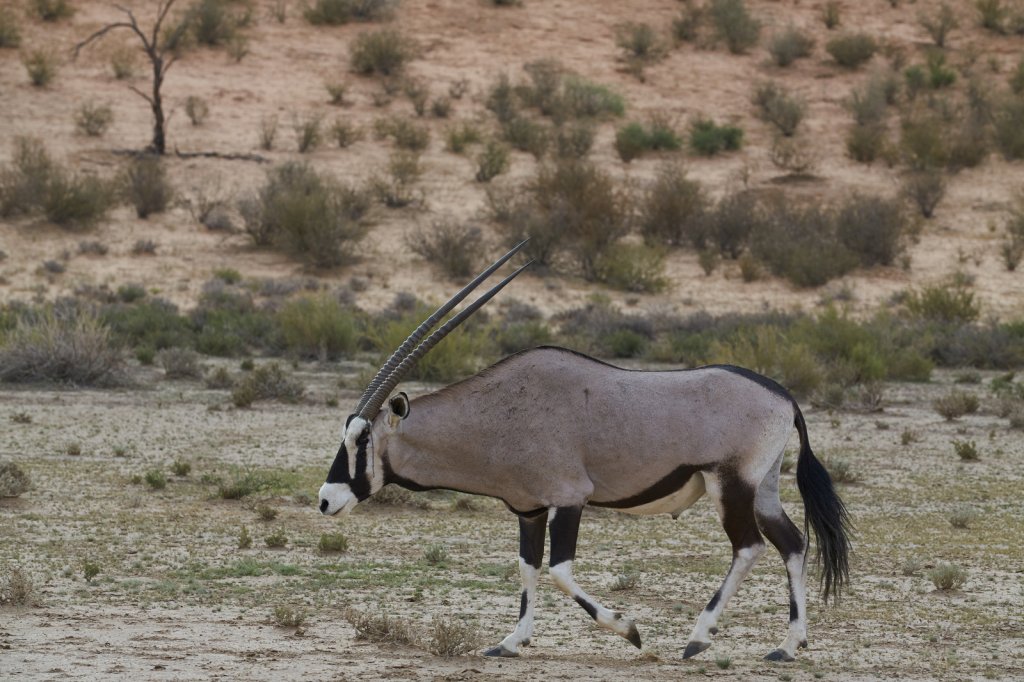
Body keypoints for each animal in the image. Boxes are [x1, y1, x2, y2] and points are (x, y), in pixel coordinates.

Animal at [319, 240, 847, 659]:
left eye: (361, 439)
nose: (326, 500)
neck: (498, 412)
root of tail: (784, 396)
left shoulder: (569, 498)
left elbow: (559, 570)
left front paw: (630, 630)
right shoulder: (529, 509)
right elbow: (528, 568)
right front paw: (510, 643)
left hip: (730, 485)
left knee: (749, 546)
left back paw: (699, 638)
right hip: (762, 488)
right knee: (792, 543)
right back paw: (787, 646)